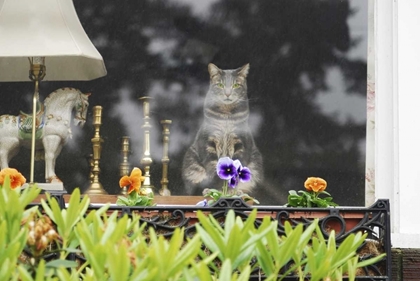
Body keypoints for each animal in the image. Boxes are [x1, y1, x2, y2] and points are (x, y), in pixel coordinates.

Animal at [181, 63, 262, 195]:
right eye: (220, 85)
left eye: (235, 85)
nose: (228, 93)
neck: (226, 117)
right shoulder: (209, 141)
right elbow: (213, 166)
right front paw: (216, 189)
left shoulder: (241, 142)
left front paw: (228, 190)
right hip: (191, 164)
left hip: (255, 166)